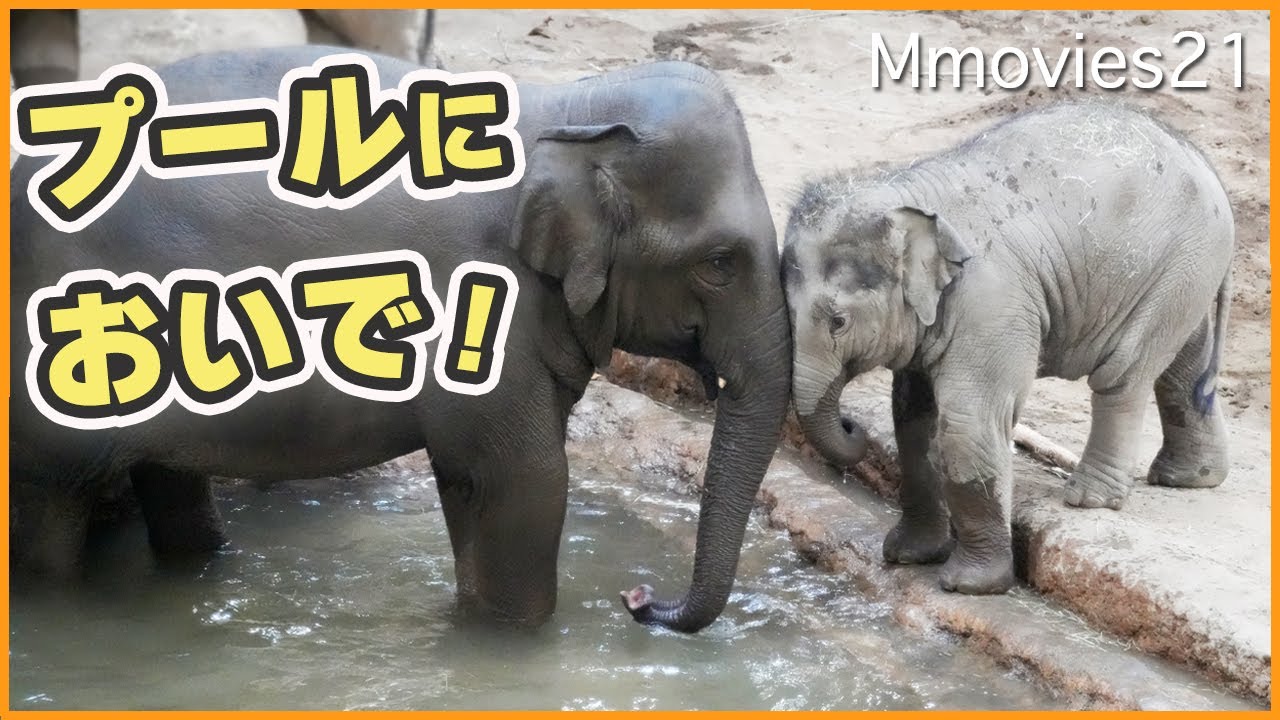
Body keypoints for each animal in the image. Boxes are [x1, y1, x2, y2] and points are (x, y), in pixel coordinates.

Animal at [9, 47, 792, 633]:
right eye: (720, 264)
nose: (636, 598)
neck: (568, 108)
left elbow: (479, 481)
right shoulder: (484, 297)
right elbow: (525, 481)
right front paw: (504, 650)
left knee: (169, 479)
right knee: (47, 511)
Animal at [782, 103, 1233, 595]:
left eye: (838, 322)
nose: (852, 426)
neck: (908, 195)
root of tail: (1205, 162)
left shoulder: (991, 302)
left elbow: (968, 422)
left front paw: (969, 585)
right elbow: (912, 418)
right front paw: (908, 556)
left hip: (1177, 263)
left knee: (1124, 375)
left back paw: (1089, 499)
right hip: (1184, 274)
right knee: (1184, 364)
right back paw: (1188, 478)